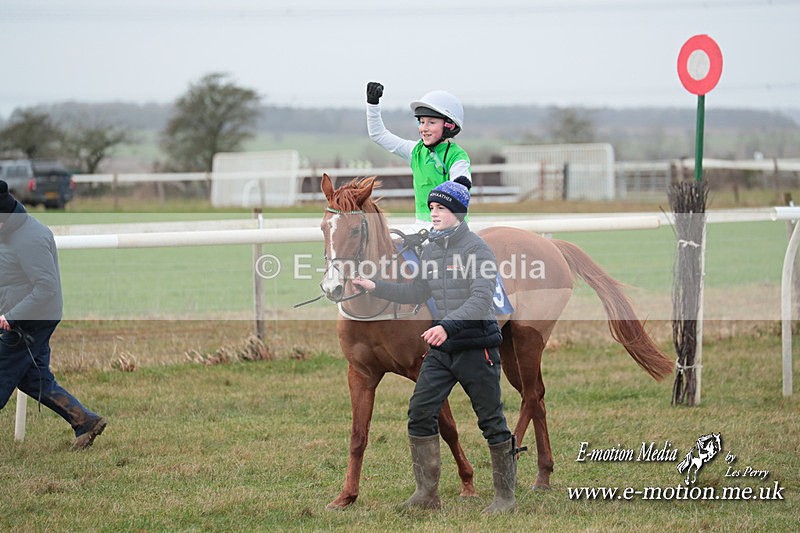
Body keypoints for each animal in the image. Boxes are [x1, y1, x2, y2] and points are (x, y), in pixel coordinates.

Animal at [317, 174, 673, 509]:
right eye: (323, 227)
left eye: (354, 231)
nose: (333, 287)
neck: (380, 304)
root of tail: (551, 245)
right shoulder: (360, 374)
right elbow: (358, 435)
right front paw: (346, 496)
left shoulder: (423, 368)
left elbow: (447, 427)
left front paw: (467, 483)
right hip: (507, 346)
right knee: (538, 395)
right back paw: (543, 475)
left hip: (531, 338)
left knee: (530, 396)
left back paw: (512, 458)